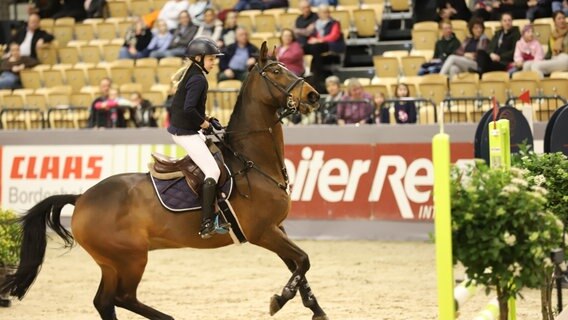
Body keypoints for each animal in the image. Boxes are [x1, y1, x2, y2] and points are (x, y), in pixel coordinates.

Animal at [0, 42, 328, 320]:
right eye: (276, 72)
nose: (313, 95)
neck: (251, 160)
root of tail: (81, 199)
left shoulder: (277, 228)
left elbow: (299, 266)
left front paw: (316, 309)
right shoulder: (262, 231)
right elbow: (304, 261)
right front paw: (279, 299)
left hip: (112, 262)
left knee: (105, 301)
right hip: (130, 259)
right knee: (121, 297)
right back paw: (168, 317)